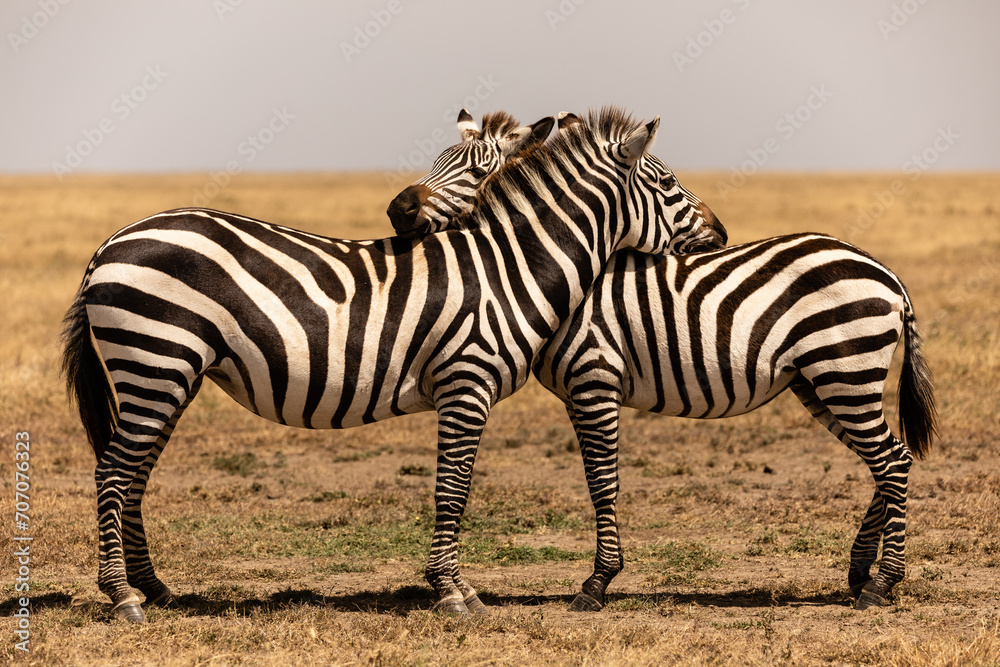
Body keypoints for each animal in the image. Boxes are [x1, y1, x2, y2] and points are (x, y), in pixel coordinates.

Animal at [61, 107, 727, 622]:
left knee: (132, 475)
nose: (721, 233)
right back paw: (122, 597)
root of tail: (109, 243)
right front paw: (453, 593)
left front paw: (454, 587)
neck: (506, 266)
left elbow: (454, 490)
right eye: (669, 182)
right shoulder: (466, 382)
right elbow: (452, 490)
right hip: (154, 362)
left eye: (478, 168)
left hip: (167, 373)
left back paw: (154, 588)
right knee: (112, 474)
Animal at [390, 112, 937, 612]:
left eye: (478, 172)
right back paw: (861, 573)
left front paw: (597, 584)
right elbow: (596, 479)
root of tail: (887, 274)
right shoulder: (576, 391)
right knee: (887, 460)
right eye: (437, 160)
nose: (398, 210)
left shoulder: (595, 377)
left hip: (845, 371)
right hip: (822, 381)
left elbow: (602, 481)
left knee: (891, 461)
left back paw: (881, 584)